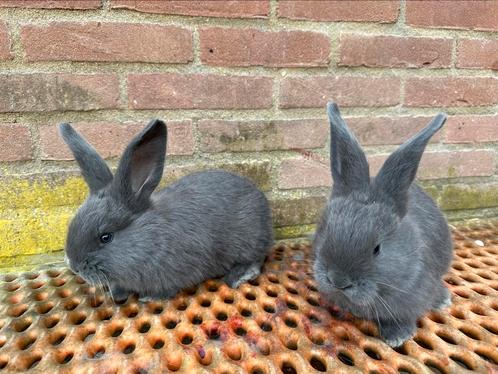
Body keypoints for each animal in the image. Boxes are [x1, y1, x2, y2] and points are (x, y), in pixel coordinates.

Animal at [61, 120, 276, 300]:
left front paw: (149, 297)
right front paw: (118, 292)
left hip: (250, 239)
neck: (151, 237)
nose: (74, 266)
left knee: (256, 257)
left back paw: (239, 275)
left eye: (106, 237)